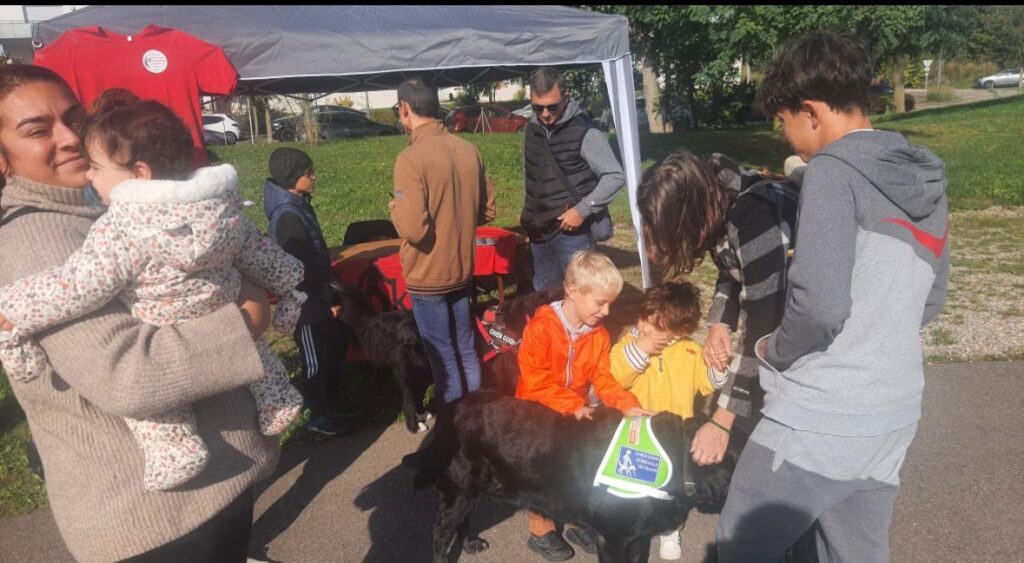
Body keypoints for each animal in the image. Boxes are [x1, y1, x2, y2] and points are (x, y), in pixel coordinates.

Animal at [409, 393, 737, 563]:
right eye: (734, 464)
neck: (671, 458)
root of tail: (453, 406)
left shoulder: (637, 537)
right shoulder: (613, 538)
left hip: (471, 489)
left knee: (463, 519)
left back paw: (471, 543)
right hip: (458, 489)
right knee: (439, 533)